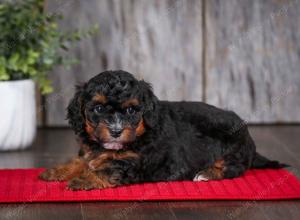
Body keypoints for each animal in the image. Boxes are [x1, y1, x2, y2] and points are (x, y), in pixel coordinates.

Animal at [39, 70, 286, 189]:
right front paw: (56, 171)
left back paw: (206, 174)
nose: (116, 131)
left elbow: (107, 169)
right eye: (98, 108)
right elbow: (81, 161)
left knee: (234, 168)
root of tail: (248, 136)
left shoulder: (134, 163)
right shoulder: (91, 151)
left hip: (230, 146)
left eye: (131, 110)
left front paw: (83, 180)